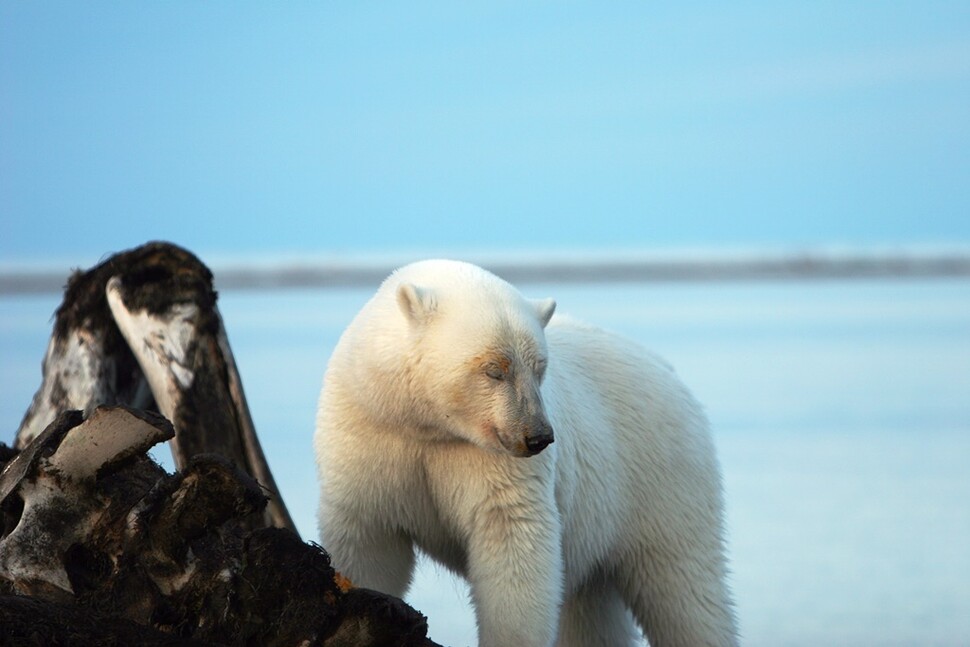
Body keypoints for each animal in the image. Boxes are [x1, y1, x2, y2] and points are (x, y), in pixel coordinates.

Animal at [316, 260, 732, 647]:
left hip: (659, 476)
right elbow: (368, 538)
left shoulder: (494, 463)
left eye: (539, 367)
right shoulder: (369, 432)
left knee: (684, 588)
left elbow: (512, 539)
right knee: (593, 608)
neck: (428, 428)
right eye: (494, 369)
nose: (539, 437)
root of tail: (669, 371)